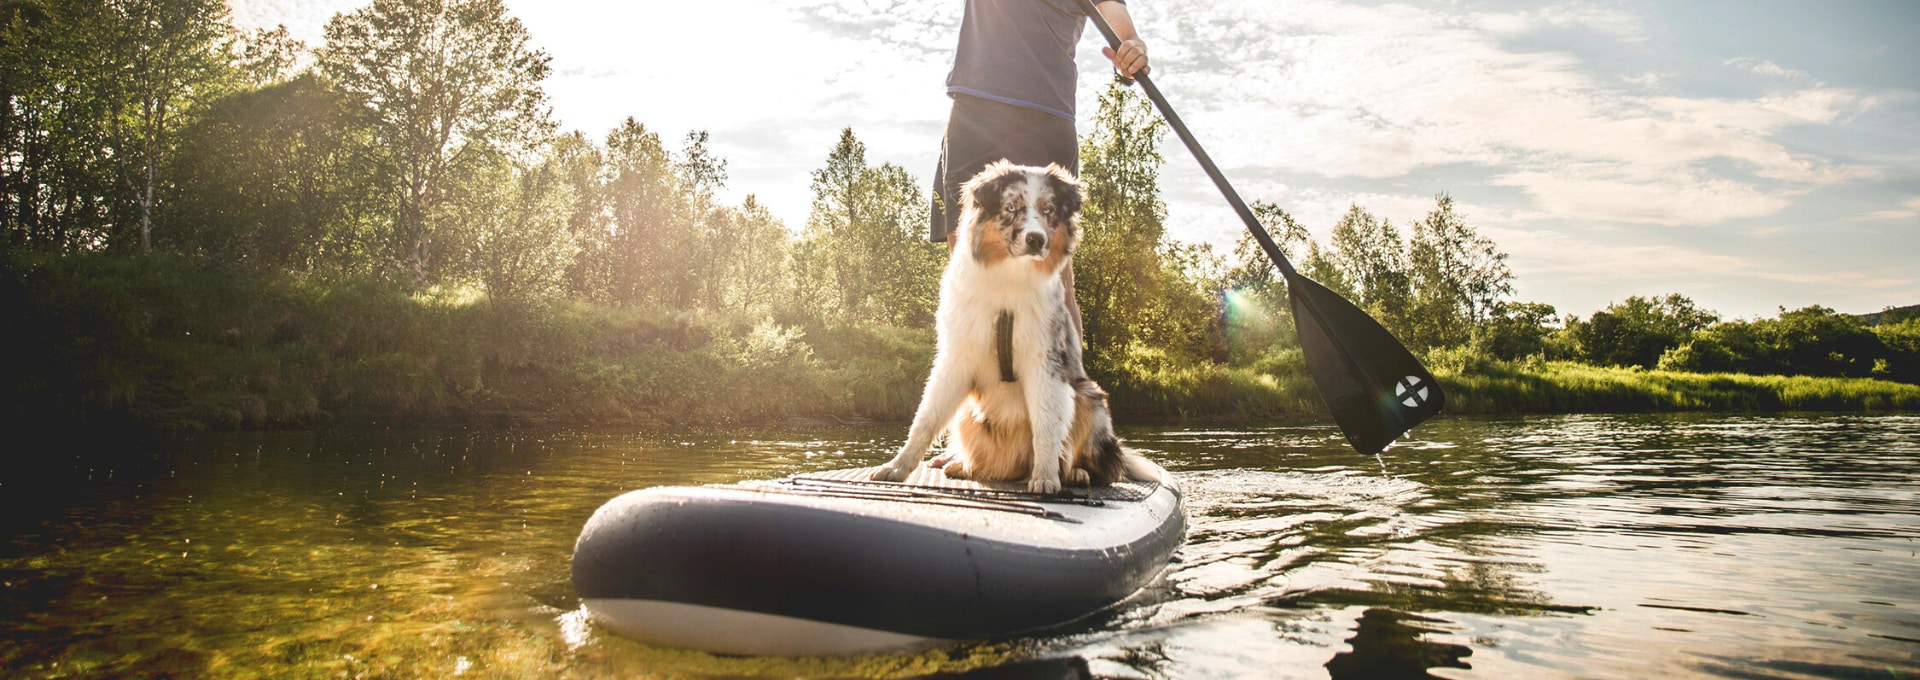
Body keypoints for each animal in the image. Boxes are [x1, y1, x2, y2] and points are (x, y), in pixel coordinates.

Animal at [867, 161, 1152, 491]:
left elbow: (1046, 424)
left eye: (1048, 209)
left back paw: (1075, 473)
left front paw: (1045, 476)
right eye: (1011, 208)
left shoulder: (1045, 361)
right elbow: (926, 418)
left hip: (1089, 399)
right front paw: (896, 468)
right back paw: (963, 466)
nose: (1036, 239)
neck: (1009, 280)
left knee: (1093, 462)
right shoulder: (957, 357)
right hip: (968, 413)